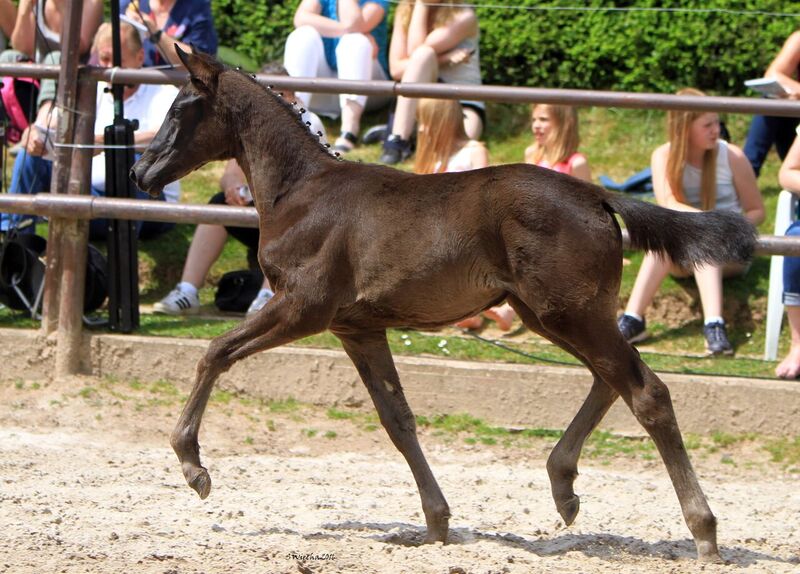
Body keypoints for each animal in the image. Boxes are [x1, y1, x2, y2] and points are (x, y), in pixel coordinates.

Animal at [131, 46, 756, 564]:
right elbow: (397, 419)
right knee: (611, 380)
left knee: (645, 391)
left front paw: (193, 466)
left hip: (566, 313)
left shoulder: (303, 307)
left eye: (182, 106)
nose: (140, 171)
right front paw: (433, 523)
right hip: (549, 313)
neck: (300, 194)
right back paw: (563, 487)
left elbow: (215, 352)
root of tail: (597, 195)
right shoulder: (357, 328)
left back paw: (703, 532)